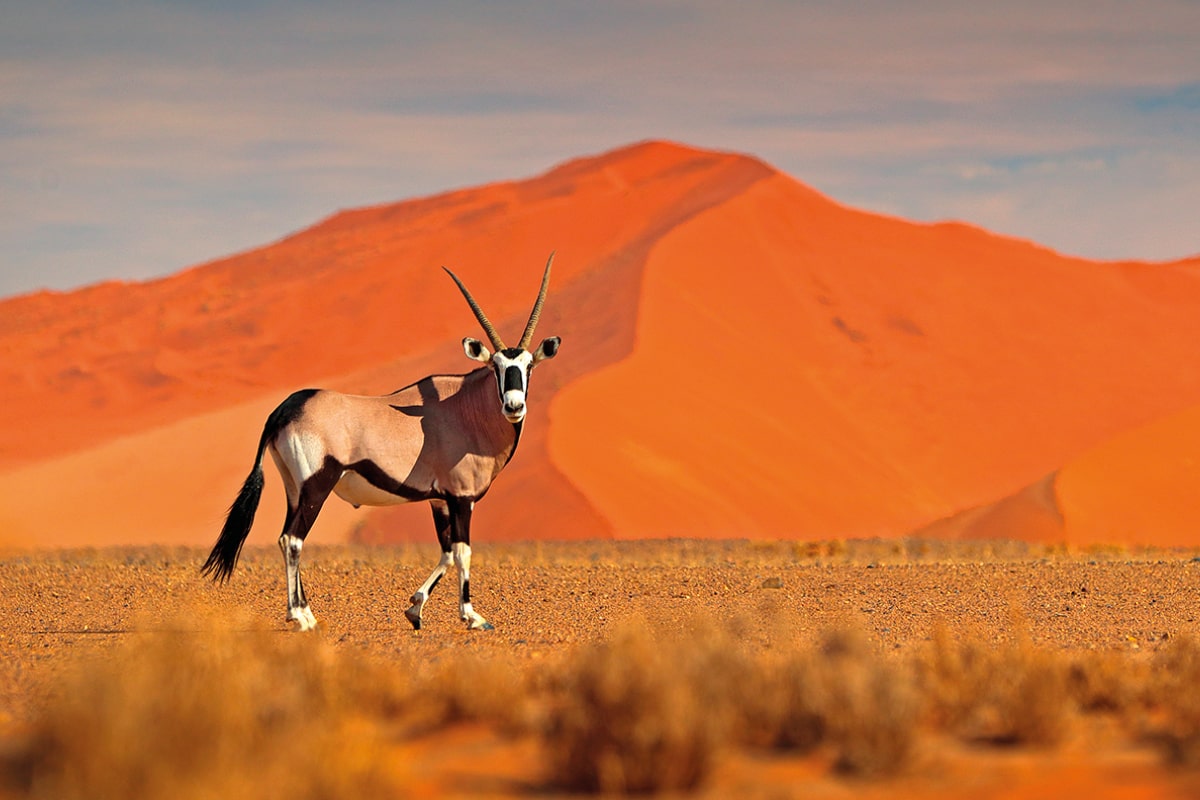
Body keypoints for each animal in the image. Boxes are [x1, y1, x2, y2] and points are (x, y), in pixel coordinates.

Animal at [202, 256, 561, 633]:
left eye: (528, 366)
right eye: (496, 366)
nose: (513, 406)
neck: (466, 408)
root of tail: (284, 410)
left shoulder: (439, 500)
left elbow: (447, 552)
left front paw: (415, 609)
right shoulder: (461, 497)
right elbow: (463, 552)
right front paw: (471, 616)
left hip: (294, 489)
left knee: (285, 536)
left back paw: (304, 611)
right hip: (317, 486)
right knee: (293, 539)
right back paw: (300, 616)